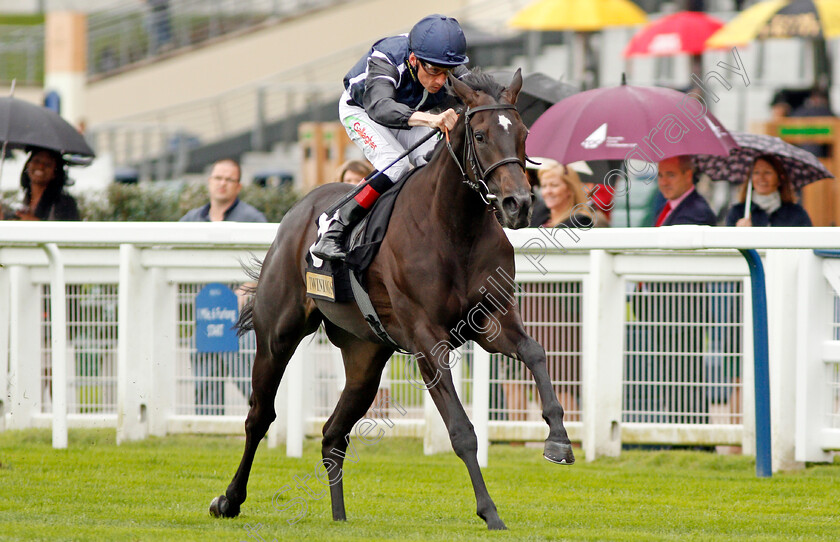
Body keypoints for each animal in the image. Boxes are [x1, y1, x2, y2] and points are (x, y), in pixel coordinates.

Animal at [210, 69, 576, 532]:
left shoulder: (490, 320)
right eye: (479, 134)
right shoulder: (426, 339)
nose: (519, 204)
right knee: (259, 416)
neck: (455, 227)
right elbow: (461, 430)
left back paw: (339, 517)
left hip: (365, 355)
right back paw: (229, 499)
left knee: (332, 433)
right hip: (278, 334)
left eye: (524, 133)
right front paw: (489, 511)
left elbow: (534, 351)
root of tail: (297, 210)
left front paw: (558, 441)